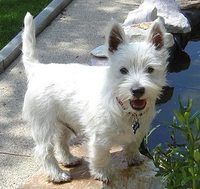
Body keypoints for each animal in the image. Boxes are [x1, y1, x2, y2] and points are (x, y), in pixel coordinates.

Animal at [21, 12, 169, 183]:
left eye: (150, 69)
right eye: (123, 70)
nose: (137, 90)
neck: (123, 107)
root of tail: (38, 69)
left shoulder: (139, 130)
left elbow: (133, 144)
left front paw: (134, 158)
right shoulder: (99, 138)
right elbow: (101, 156)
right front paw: (102, 173)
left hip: (64, 122)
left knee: (61, 141)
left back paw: (69, 159)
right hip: (44, 125)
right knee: (44, 151)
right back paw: (57, 174)